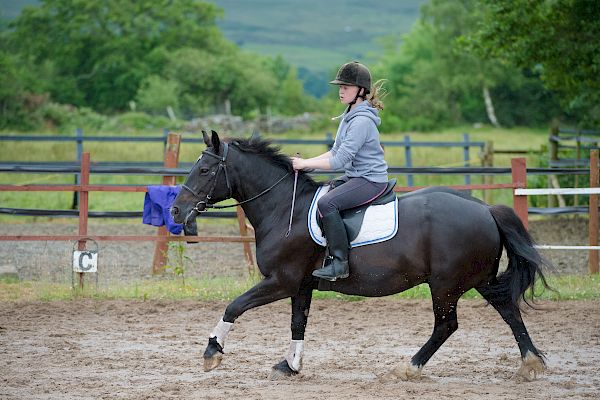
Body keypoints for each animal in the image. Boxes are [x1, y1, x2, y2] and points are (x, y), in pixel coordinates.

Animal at [171, 131, 552, 382]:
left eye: (204, 170)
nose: (176, 211)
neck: (284, 210)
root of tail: (485, 208)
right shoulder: (301, 285)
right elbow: (298, 323)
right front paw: (290, 366)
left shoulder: (281, 281)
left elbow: (234, 306)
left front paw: (212, 352)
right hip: (478, 279)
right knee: (508, 310)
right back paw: (530, 363)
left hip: (445, 284)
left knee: (447, 325)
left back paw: (409, 366)